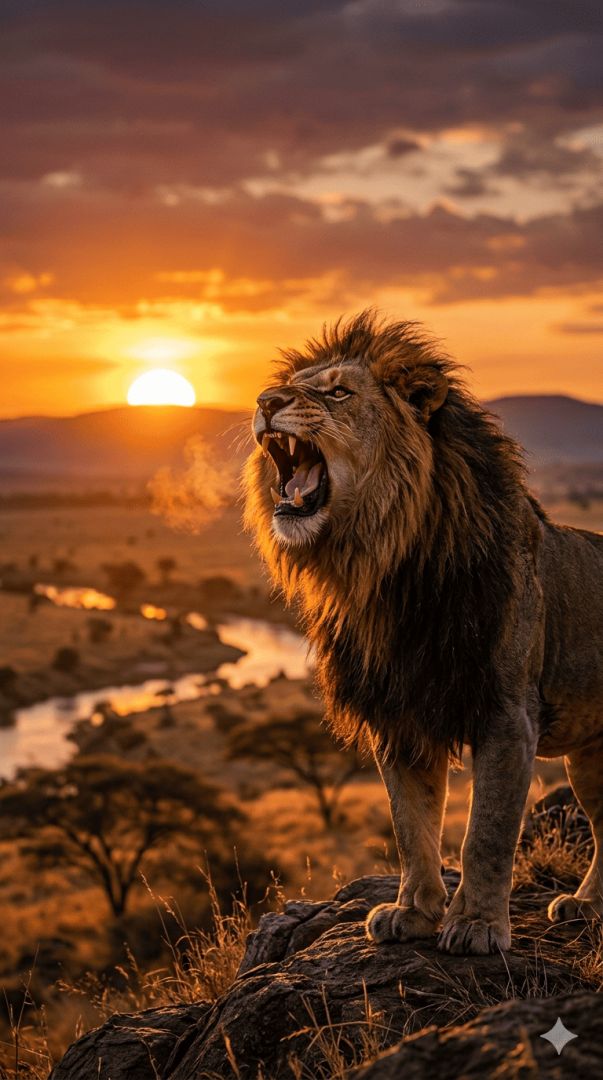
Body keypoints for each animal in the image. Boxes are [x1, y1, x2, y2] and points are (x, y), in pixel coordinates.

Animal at [244, 311, 603, 955]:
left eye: (338, 392)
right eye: (290, 387)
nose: (265, 401)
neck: (389, 565)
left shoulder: (507, 713)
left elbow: (486, 832)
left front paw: (478, 925)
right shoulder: (400, 715)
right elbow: (411, 826)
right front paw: (411, 913)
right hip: (588, 756)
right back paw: (585, 906)